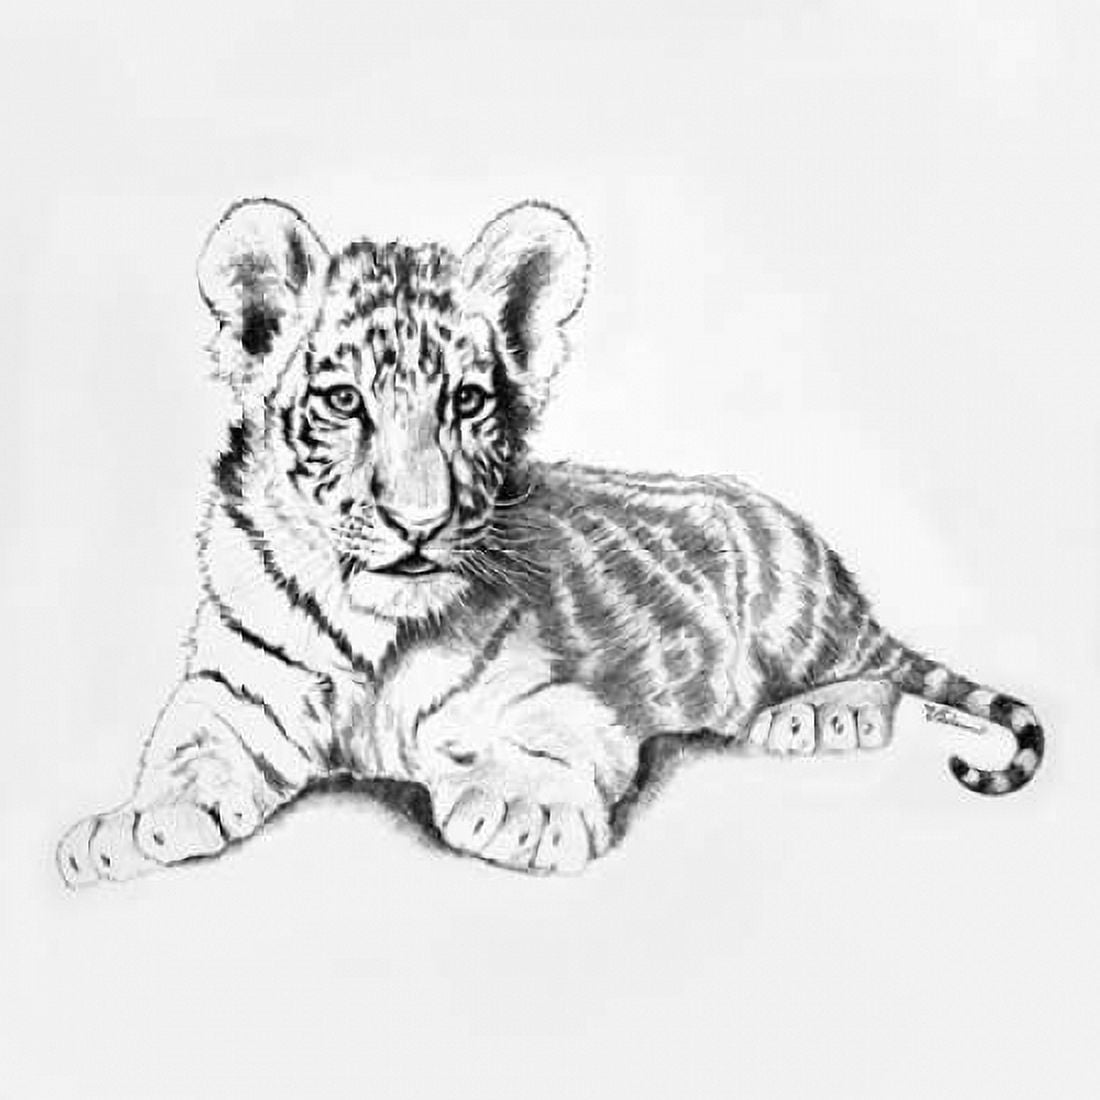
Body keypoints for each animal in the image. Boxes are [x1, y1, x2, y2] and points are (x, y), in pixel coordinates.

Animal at [57, 197, 1045, 885]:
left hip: (790, 615)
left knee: (873, 670)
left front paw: (518, 811)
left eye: (466, 401)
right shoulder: (232, 688)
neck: (372, 625)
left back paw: (815, 714)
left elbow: (542, 746)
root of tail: (821, 556)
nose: (418, 523)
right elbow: (186, 745)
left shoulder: (555, 698)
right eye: (344, 402)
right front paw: (125, 824)